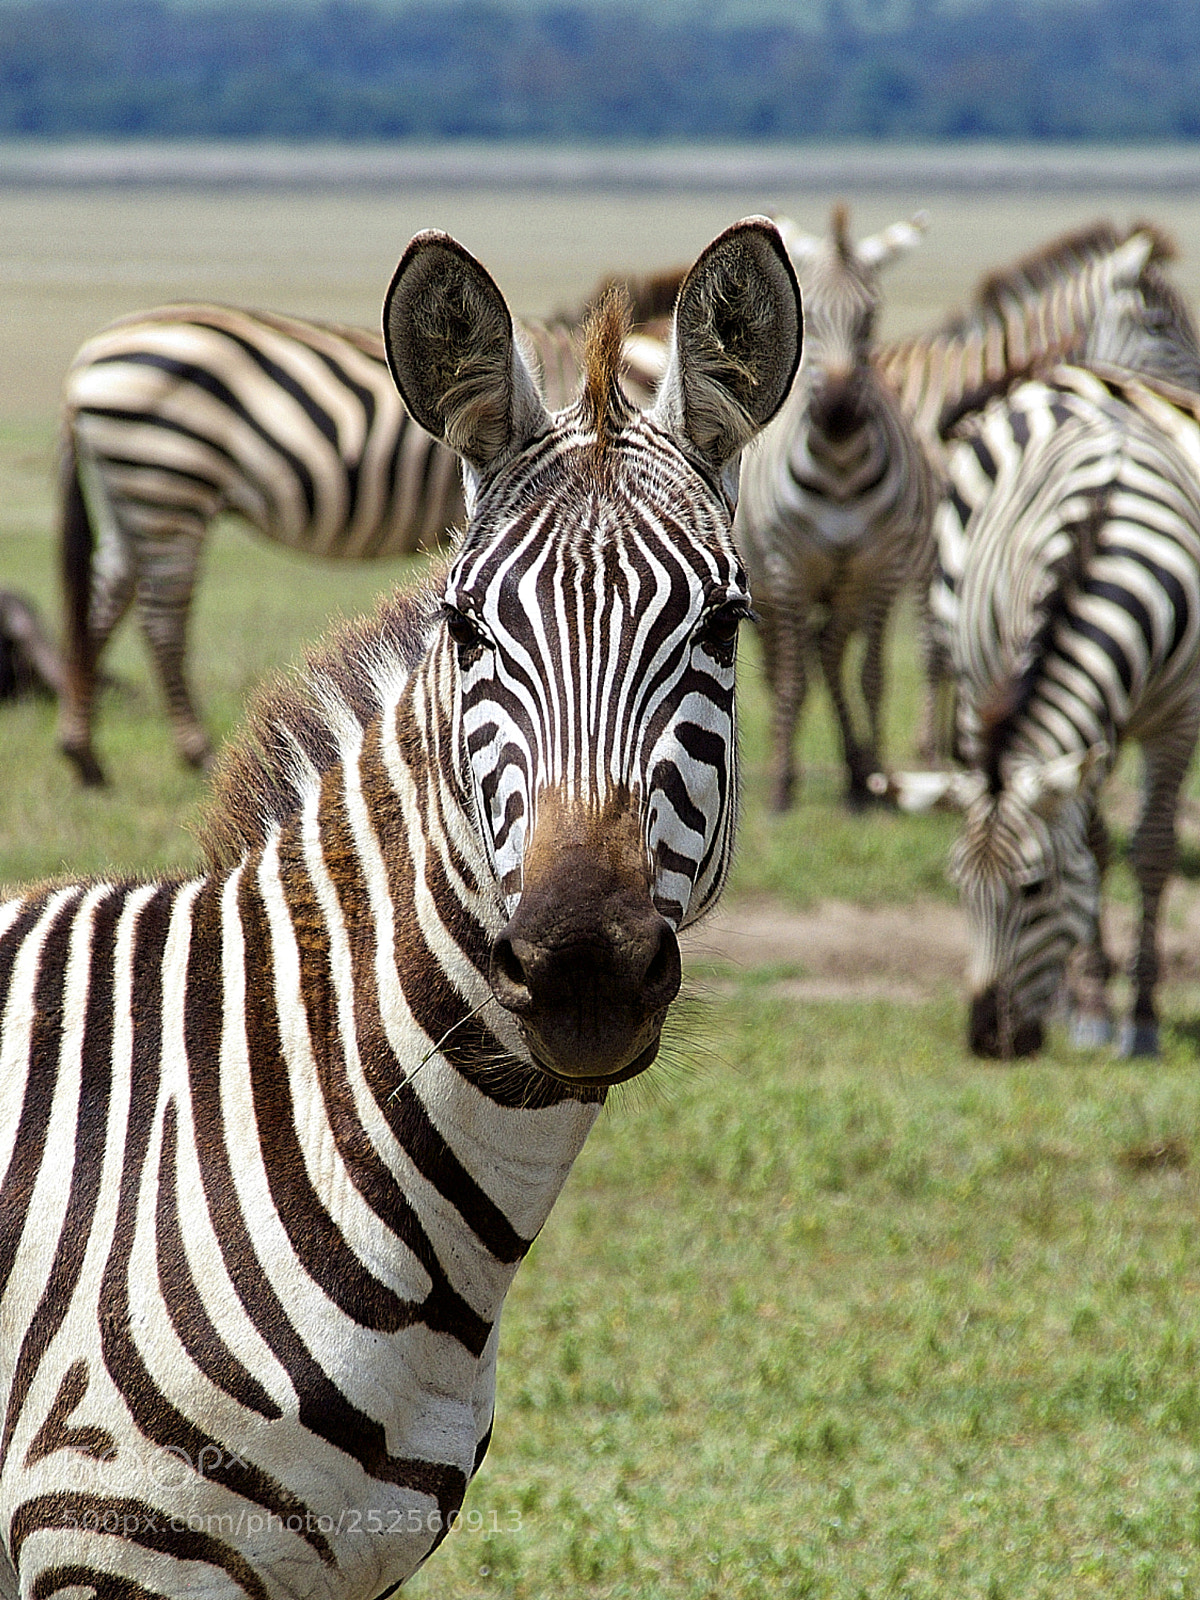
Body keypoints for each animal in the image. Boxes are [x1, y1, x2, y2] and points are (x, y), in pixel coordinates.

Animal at [56, 290, 670, 789]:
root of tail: (85, 362)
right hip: (166, 482)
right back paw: (195, 753)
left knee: (104, 600)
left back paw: (83, 754)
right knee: (161, 619)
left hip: (133, 492)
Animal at [735, 203, 937, 810]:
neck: (842, 470)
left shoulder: (880, 568)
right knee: (790, 662)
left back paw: (855, 771)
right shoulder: (789, 569)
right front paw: (782, 783)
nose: (840, 413)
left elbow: (871, 675)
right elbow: (793, 679)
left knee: (828, 652)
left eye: (870, 317)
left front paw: (876, 775)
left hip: (845, 586)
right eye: (813, 318)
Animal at [885, 295, 1200, 1056]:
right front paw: (1089, 1002)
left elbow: (1150, 850)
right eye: (959, 888)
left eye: (1032, 889)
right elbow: (1091, 846)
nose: (988, 1040)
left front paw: (1141, 1015)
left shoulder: (1178, 717)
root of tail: (1079, 370)